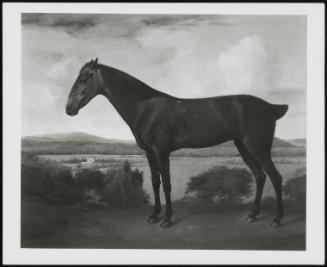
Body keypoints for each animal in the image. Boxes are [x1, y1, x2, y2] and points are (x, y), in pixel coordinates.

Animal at [66, 59, 290, 229]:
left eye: (84, 78)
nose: (69, 108)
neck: (146, 107)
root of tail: (270, 107)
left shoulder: (161, 151)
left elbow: (166, 184)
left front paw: (166, 219)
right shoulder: (149, 153)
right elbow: (155, 182)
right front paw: (153, 216)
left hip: (258, 148)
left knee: (276, 178)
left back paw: (278, 220)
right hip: (244, 148)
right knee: (260, 177)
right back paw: (253, 215)